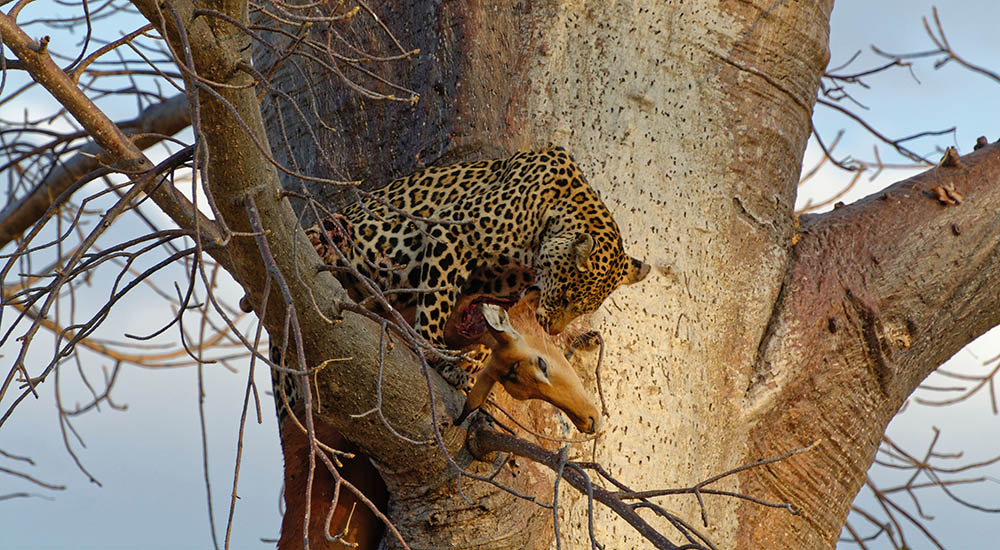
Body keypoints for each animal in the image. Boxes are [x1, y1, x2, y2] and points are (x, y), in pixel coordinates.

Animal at [305, 146, 650, 388]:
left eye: (581, 310)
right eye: (566, 298)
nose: (552, 330)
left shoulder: (499, 290)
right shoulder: (453, 233)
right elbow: (437, 300)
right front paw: (437, 354)